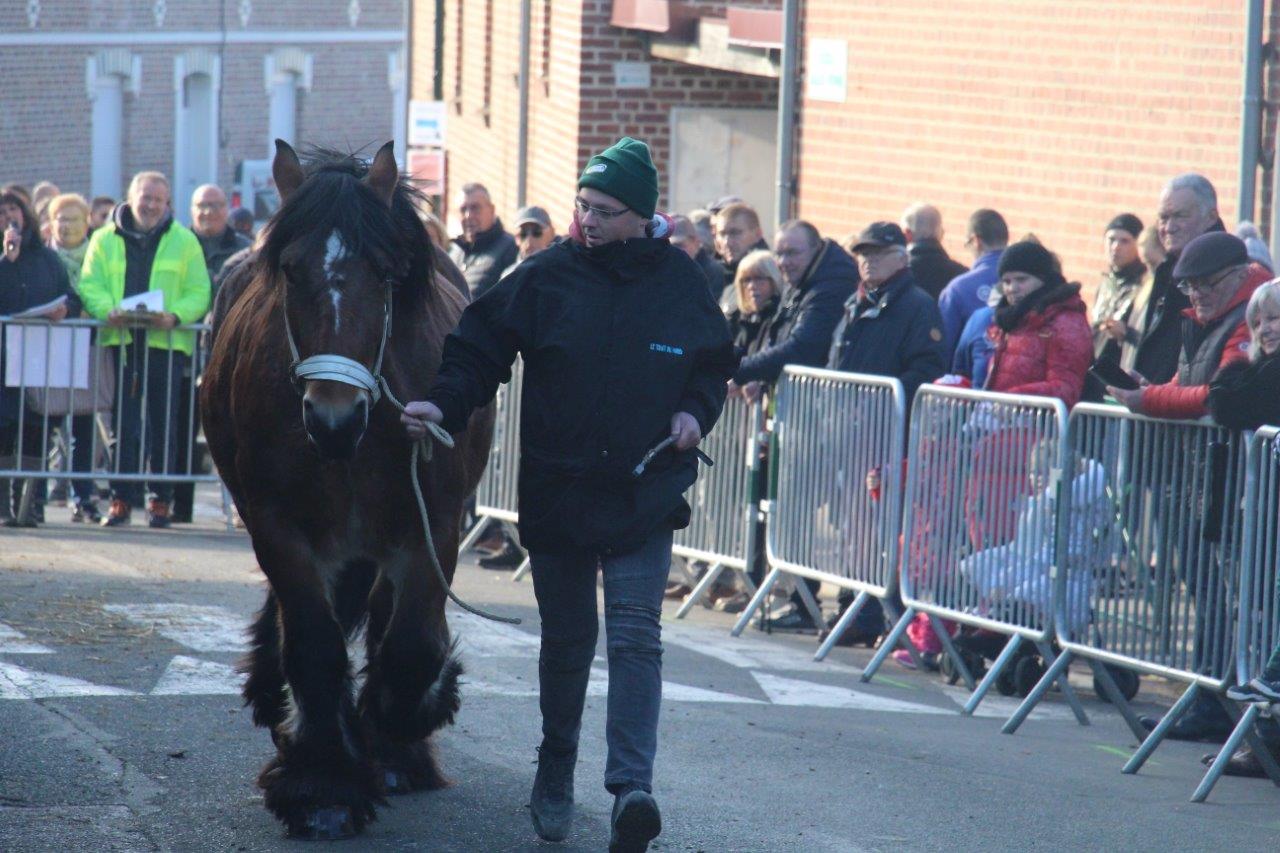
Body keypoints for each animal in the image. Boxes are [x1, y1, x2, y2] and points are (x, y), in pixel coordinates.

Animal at [200, 139, 494, 835]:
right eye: (289, 270)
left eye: (385, 274)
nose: (332, 418)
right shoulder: (279, 527)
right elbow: (315, 644)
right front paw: (323, 783)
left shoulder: (432, 528)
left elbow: (411, 647)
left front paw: (399, 727)